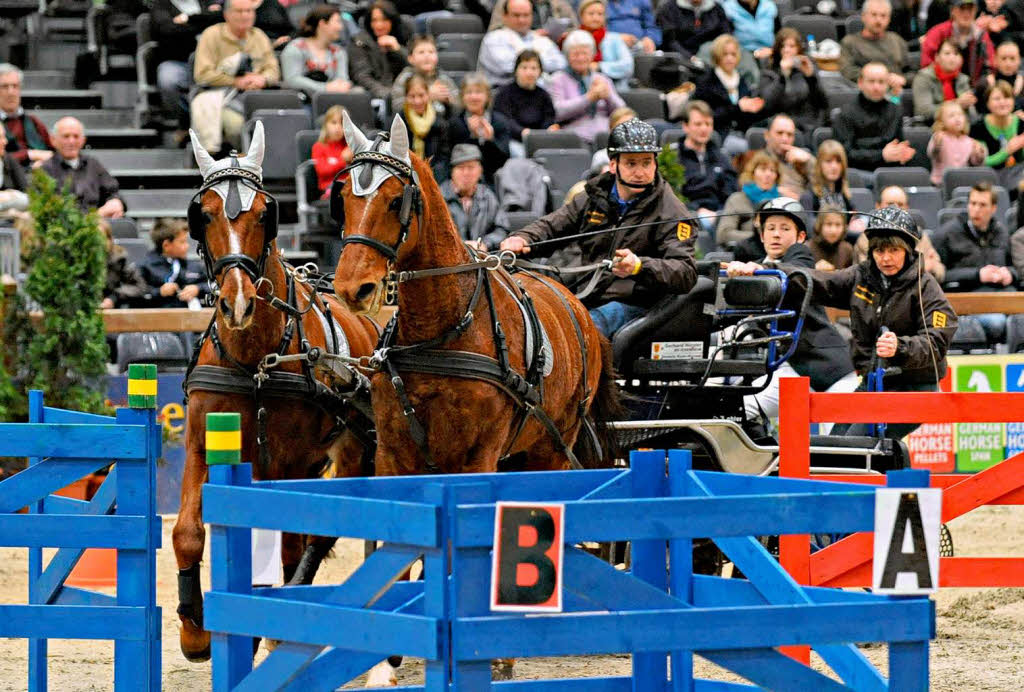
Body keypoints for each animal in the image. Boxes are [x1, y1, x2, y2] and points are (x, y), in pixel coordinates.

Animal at [172, 122, 380, 659]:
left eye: (266, 214)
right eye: (203, 215)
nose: (238, 302)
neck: (257, 362)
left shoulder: (291, 458)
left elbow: (284, 537)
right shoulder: (202, 440)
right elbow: (187, 532)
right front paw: (194, 631)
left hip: (351, 452)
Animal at [333, 112, 614, 481]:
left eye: (396, 201)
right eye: (342, 199)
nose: (351, 287)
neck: (439, 334)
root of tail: (579, 308)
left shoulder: (476, 457)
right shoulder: (391, 455)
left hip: (554, 446)